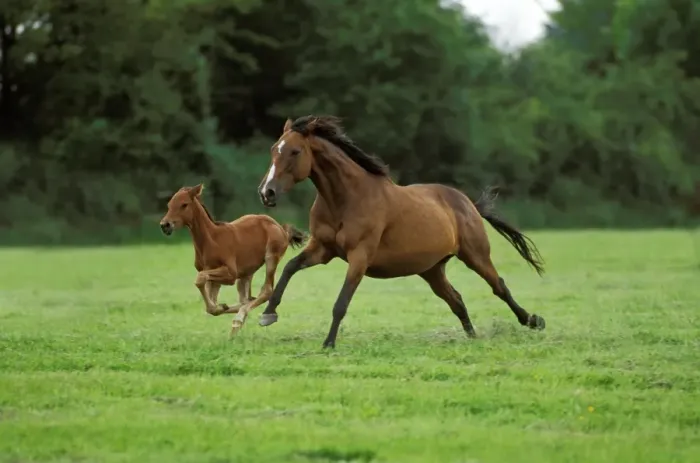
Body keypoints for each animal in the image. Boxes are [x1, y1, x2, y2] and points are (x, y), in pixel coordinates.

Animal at [159, 184, 307, 335]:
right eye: (169, 205)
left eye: (184, 204)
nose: (165, 225)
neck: (211, 240)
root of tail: (281, 228)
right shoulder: (213, 276)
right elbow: (210, 305)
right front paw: (220, 307)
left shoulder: (230, 274)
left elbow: (200, 279)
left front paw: (222, 307)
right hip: (246, 273)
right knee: (246, 298)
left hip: (271, 258)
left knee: (266, 291)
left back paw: (239, 319)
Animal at [255, 115, 546, 349]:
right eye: (273, 150)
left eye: (294, 152)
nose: (266, 192)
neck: (346, 198)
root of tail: (468, 203)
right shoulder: (322, 249)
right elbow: (290, 267)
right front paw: (268, 314)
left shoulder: (359, 256)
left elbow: (341, 303)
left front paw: (328, 344)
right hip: (431, 269)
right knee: (456, 300)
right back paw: (473, 337)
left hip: (475, 255)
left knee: (499, 287)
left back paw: (533, 320)